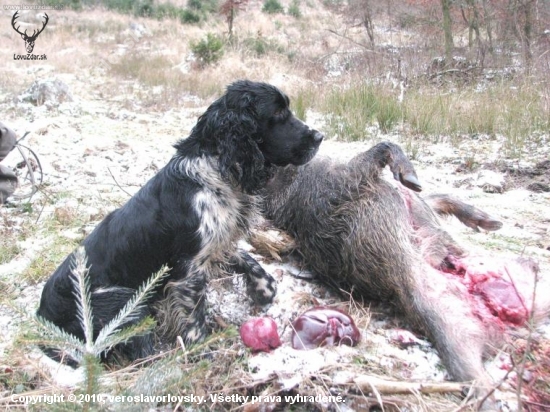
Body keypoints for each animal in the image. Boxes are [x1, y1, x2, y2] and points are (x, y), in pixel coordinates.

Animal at [37, 81, 324, 364]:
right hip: (123, 301)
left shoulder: (215, 243)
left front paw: (264, 288)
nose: (320, 137)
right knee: (142, 353)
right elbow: (195, 316)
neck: (214, 172)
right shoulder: (189, 268)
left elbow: (245, 257)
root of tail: (43, 316)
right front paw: (203, 350)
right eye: (278, 113)